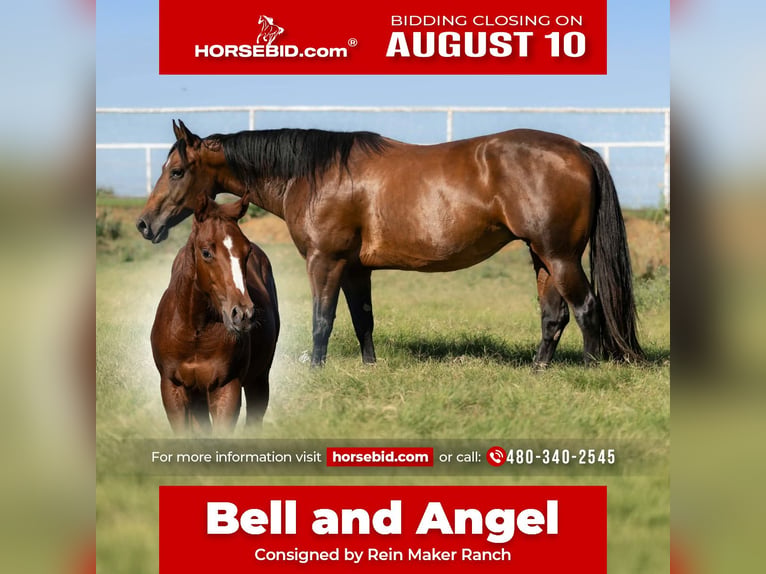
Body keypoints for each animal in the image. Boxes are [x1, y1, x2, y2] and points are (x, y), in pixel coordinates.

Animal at [137, 119, 643, 368]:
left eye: (176, 171)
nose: (145, 224)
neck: (315, 173)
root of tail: (579, 150)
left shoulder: (325, 261)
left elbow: (323, 320)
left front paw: (315, 369)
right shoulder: (356, 267)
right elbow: (363, 320)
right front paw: (369, 366)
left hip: (559, 255)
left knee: (586, 307)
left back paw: (590, 370)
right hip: (542, 256)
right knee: (554, 314)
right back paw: (539, 369)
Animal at [150, 192, 279, 434]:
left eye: (247, 251)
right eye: (206, 252)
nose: (243, 314)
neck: (195, 331)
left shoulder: (226, 388)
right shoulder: (173, 389)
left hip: (259, 379)